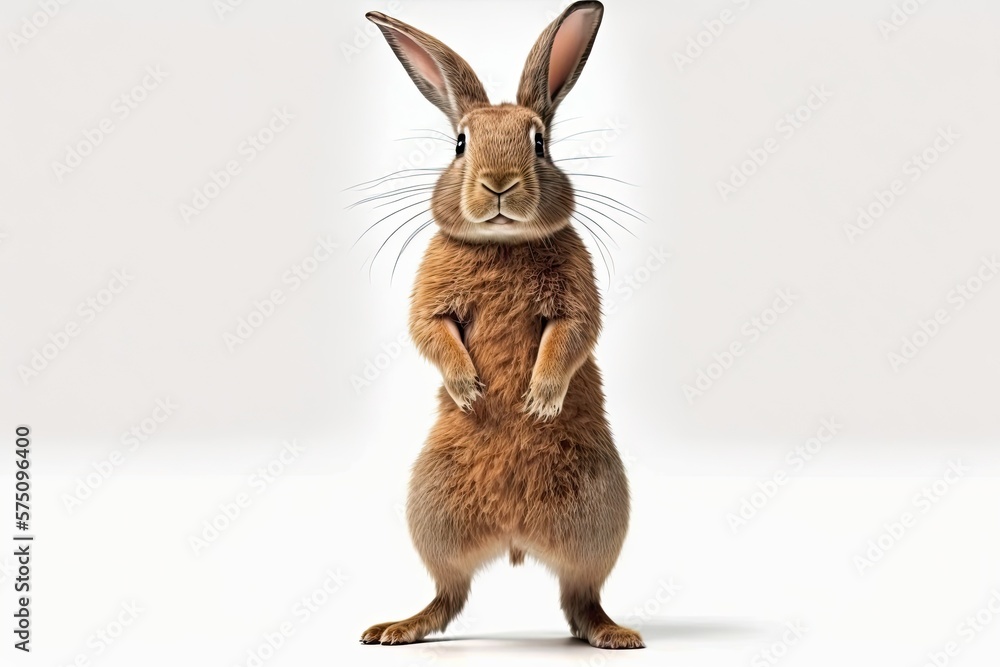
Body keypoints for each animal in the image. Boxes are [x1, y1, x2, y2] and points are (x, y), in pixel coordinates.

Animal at [360, 1, 643, 650]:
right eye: (460, 143)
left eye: (539, 143)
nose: (498, 184)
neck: (502, 243)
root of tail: (514, 539)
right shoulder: (432, 300)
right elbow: (432, 332)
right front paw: (470, 391)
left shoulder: (574, 299)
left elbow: (570, 335)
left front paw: (538, 400)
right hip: (432, 511)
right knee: (449, 594)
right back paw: (397, 628)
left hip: (599, 515)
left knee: (581, 598)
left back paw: (615, 634)